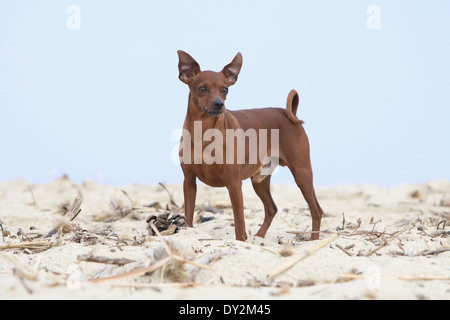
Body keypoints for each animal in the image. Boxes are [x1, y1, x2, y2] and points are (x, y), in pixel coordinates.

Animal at [177, 50, 324, 240]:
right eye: (202, 88)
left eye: (225, 89)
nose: (219, 104)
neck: (204, 133)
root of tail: (287, 113)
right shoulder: (189, 181)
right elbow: (188, 216)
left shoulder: (234, 184)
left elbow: (239, 226)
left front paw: (241, 241)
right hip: (259, 181)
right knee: (271, 208)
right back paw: (259, 237)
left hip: (302, 174)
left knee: (316, 210)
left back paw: (313, 240)